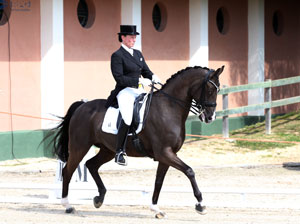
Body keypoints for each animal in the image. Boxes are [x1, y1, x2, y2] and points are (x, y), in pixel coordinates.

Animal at [50, 65, 223, 217]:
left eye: (218, 90)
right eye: (209, 90)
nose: (210, 117)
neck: (169, 108)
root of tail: (82, 106)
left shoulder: (166, 155)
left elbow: (159, 181)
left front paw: (156, 209)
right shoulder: (164, 153)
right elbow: (189, 171)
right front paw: (201, 205)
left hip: (108, 150)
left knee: (91, 165)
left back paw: (99, 198)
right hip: (79, 147)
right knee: (68, 171)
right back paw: (67, 205)